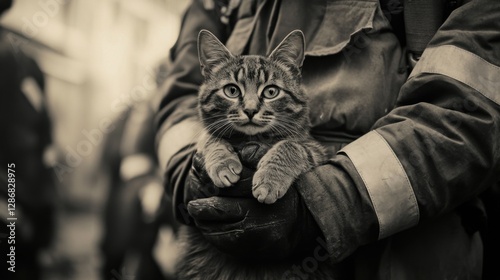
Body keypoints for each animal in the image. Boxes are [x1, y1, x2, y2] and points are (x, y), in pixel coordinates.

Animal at [177, 29, 336, 278]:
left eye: (271, 91)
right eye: (231, 90)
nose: (250, 110)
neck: (250, 139)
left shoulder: (315, 149)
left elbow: (290, 146)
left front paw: (270, 179)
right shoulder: (207, 137)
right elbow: (211, 139)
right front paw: (223, 163)